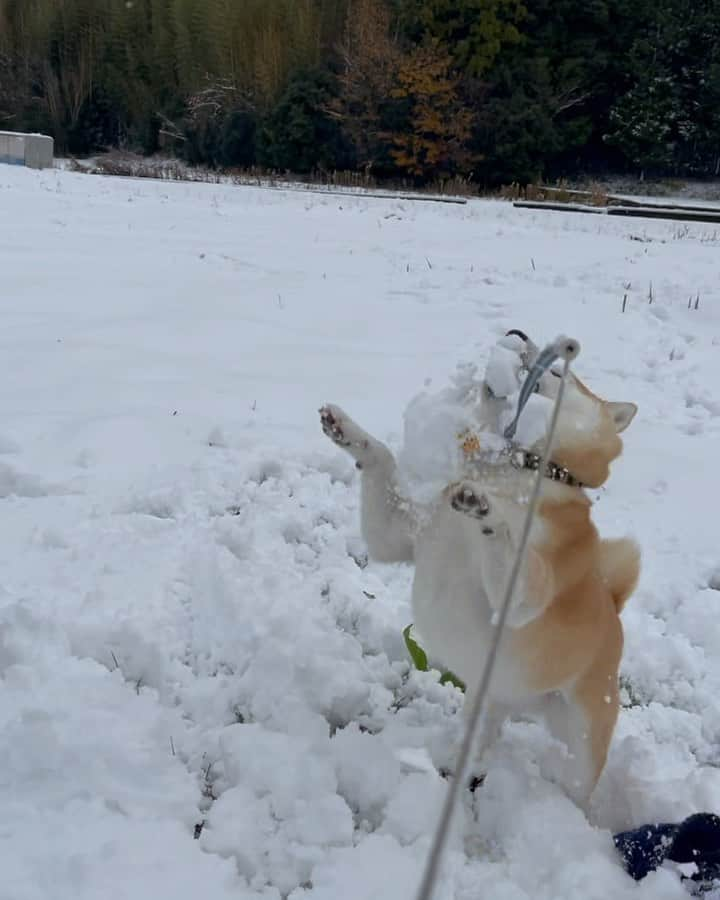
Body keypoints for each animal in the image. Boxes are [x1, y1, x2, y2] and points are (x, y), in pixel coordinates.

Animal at [324, 332, 640, 808]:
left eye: (559, 372)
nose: (521, 334)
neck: (525, 470)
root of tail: (615, 611)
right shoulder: (402, 536)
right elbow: (382, 458)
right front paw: (346, 430)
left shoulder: (523, 600)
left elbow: (510, 546)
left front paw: (486, 509)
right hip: (490, 699)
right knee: (484, 738)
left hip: (581, 743)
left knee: (579, 785)